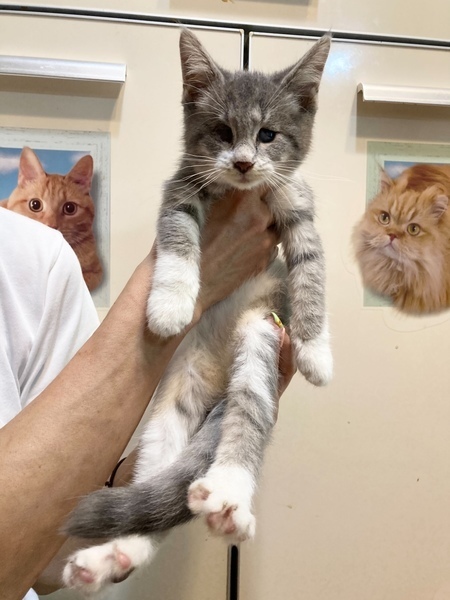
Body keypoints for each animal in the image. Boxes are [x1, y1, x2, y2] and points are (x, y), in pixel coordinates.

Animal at [62, 29, 333, 594]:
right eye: (224, 131)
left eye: (269, 134)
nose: (244, 162)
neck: (242, 192)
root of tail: (217, 380)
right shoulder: (182, 187)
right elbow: (178, 233)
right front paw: (169, 301)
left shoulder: (298, 204)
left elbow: (312, 271)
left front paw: (317, 351)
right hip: (170, 408)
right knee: (156, 488)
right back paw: (113, 554)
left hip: (259, 339)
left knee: (248, 415)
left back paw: (229, 494)